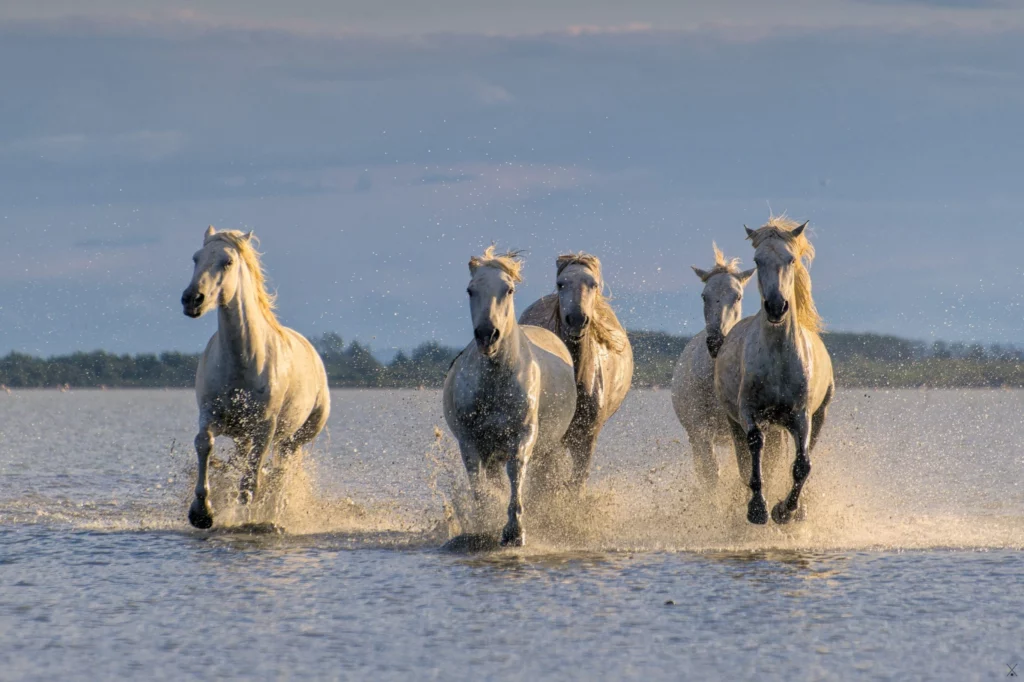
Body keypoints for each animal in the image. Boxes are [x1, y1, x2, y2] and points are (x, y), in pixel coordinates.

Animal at [180, 226, 331, 529]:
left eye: (227, 262)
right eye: (196, 258)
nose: (192, 299)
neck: (242, 362)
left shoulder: (265, 428)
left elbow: (250, 482)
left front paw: (248, 518)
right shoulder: (211, 415)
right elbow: (204, 444)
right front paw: (202, 512)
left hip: (295, 437)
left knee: (282, 470)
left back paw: (276, 511)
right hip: (246, 437)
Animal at [443, 247, 577, 547]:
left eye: (509, 289)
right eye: (470, 290)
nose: (487, 335)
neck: (496, 382)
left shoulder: (523, 436)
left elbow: (516, 476)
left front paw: (515, 532)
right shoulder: (471, 441)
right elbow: (478, 485)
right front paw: (484, 526)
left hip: (546, 447)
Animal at [518, 253, 633, 490]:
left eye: (593, 284)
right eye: (561, 283)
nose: (577, 319)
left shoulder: (586, 440)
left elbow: (576, 484)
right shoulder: (549, 440)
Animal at [714, 217, 834, 525]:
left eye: (790, 259)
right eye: (758, 260)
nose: (776, 307)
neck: (779, 357)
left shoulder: (801, 416)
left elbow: (802, 464)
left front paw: (786, 510)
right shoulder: (749, 411)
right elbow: (755, 449)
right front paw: (758, 509)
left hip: (819, 414)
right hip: (735, 421)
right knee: (745, 457)